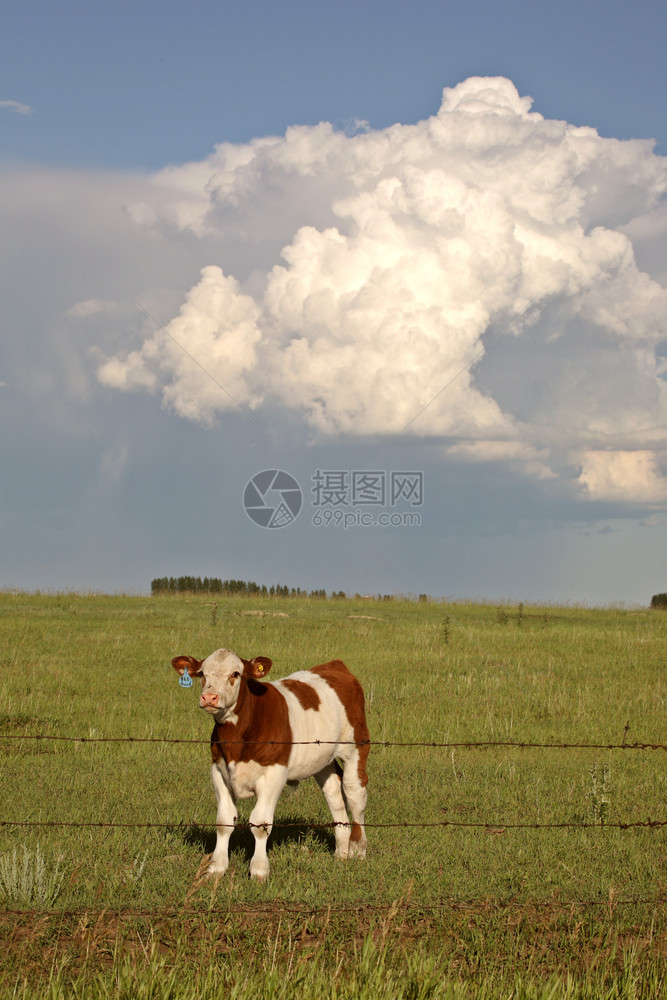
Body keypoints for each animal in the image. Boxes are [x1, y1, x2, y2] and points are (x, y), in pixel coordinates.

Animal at [172, 648, 370, 876]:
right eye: (202, 674)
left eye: (236, 674)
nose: (209, 697)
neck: (237, 739)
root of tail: (335, 665)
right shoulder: (219, 771)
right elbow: (224, 821)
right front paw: (216, 867)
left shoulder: (274, 774)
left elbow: (260, 823)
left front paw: (259, 870)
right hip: (322, 758)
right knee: (334, 794)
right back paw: (341, 852)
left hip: (356, 745)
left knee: (354, 793)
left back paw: (358, 849)